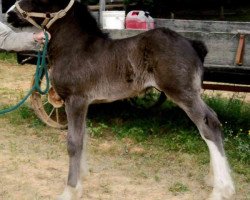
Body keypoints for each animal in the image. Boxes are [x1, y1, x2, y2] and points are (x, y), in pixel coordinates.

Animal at [7, 0, 234, 198]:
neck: (76, 48)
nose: (9, 14)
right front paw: (81, 179)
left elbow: (73, 142)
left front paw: (70, 190)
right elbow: (83, 138)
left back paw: (222, 189)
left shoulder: (75, 100)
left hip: (183, 93)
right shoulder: (85, 103)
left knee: (209, 125)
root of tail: (194, 43)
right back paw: (215, 180)